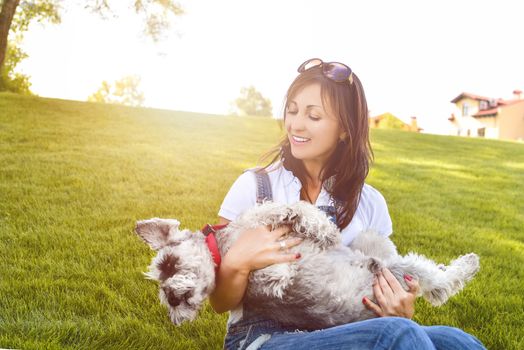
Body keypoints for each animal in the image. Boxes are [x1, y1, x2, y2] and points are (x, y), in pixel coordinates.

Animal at [135, 201, 478, 330]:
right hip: (399, 270)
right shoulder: (257, 273)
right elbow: (272, 275)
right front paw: (281, 269)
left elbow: (294, 210)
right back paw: (467, 266)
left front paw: (325, 230)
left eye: (169, 263)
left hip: (380, 251)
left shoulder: (264, 219)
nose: (173, 301)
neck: (222, 248)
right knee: (440, 285)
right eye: (163, 289)